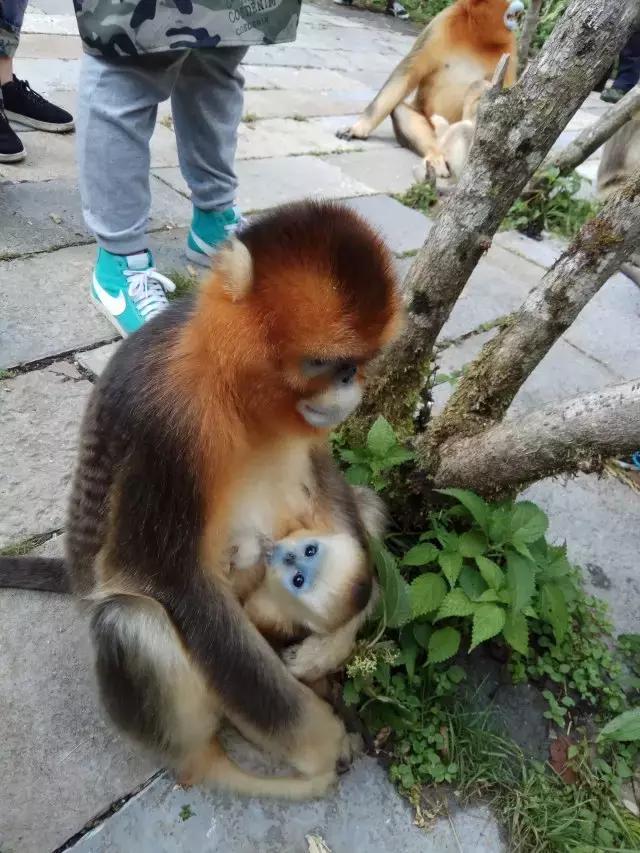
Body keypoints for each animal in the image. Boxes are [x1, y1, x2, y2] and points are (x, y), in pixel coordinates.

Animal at [0, 200, 400, 800]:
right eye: (322, 362)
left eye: (359, 360)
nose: (350, 384)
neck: (231, 384)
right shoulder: (166, 415)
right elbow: (177, 584)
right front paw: (319, 742)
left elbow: (322, 474)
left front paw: (335, 640)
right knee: (131, 621)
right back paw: (209, 764)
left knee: (366, 507)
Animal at [338, 0, 524, 176]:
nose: (521, 6)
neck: (478, 35)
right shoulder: (442, 24)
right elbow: (405, 75)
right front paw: (359, 128)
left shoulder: (509, 47)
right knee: (399, 109)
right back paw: (436, 156)